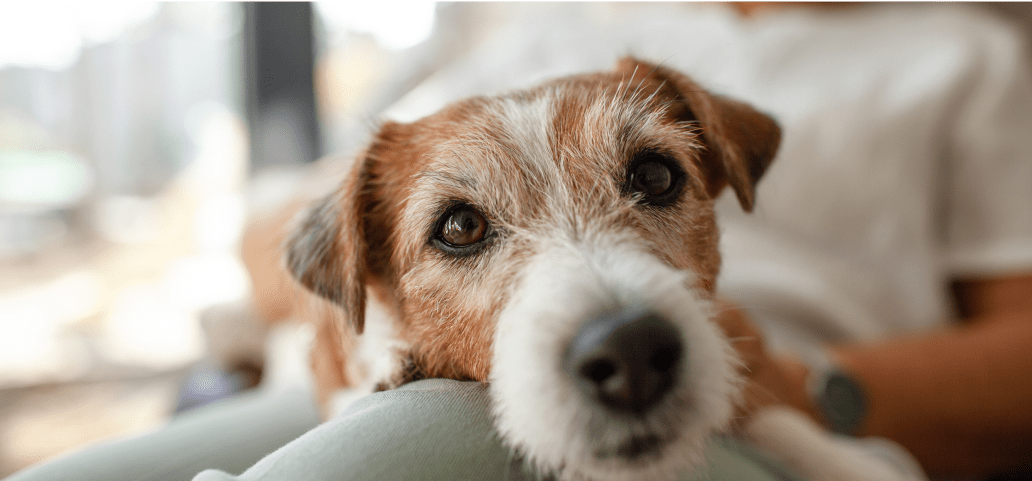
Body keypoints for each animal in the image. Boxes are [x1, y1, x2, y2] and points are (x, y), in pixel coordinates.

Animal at [278, 57, 908, 481]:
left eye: (656, 175)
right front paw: (390, 359)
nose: (632, 352)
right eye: (460, 227)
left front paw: (850, 461)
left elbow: (773, 412)